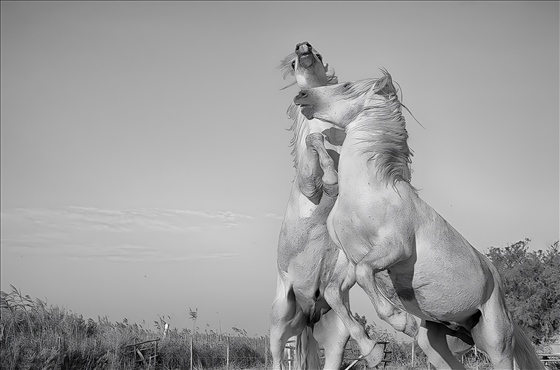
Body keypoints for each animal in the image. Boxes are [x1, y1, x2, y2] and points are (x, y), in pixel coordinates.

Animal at [294, 70, 544, 370]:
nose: (301, 95)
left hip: (496, 341)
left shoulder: (395, 248)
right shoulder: (350, 258)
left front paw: (400, 321)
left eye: (346, 86)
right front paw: (373, 351)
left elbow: (365, 274)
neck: (368, 192)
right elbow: (334, 291)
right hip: (436, 342)